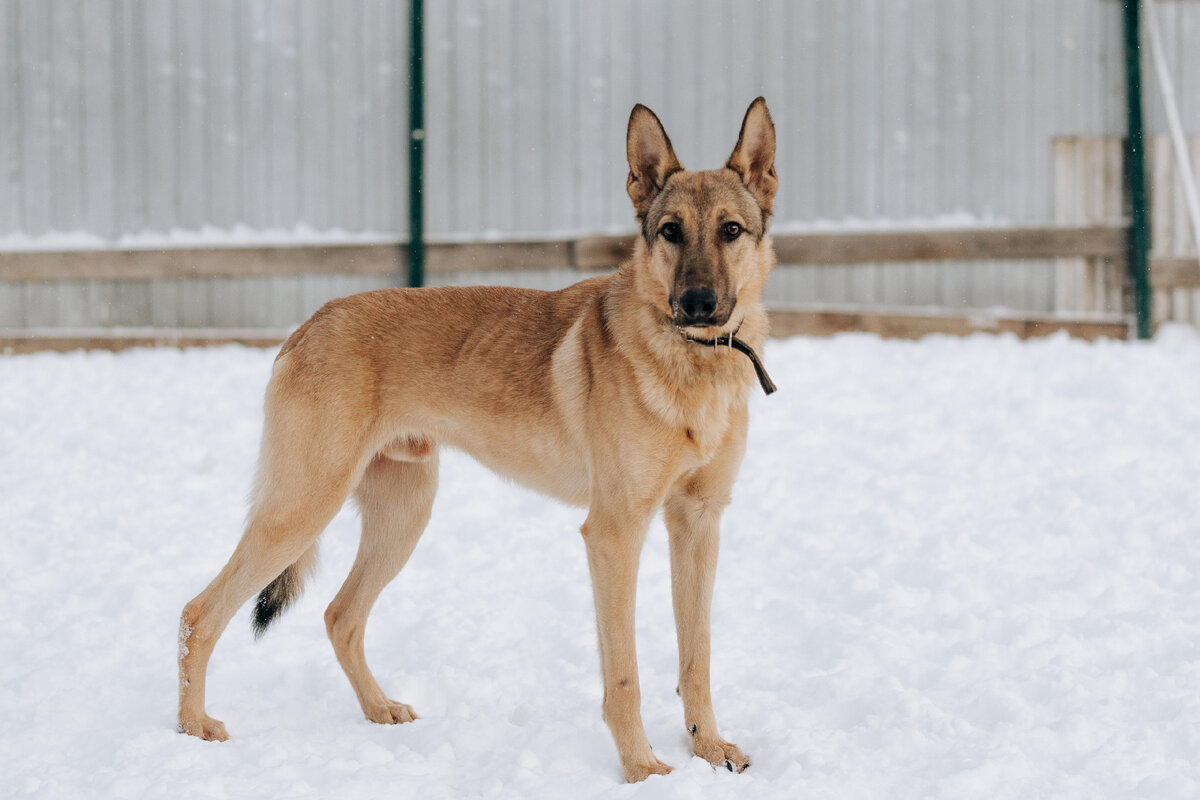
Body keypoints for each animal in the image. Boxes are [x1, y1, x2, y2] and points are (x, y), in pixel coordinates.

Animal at [175, 95, 777, 782]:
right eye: (671, 231)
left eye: (731, 230)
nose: (698, 303)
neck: (693, 362)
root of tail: (306, 326)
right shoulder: (615, 533)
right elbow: (624, 676)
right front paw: (642, 771)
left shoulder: (699, 522)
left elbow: (696, 656)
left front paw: (709, 748)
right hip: (303, 507)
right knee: (200, 614)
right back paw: (192, 728)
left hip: (402, 516)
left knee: (340, 616)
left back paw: (379, 710)